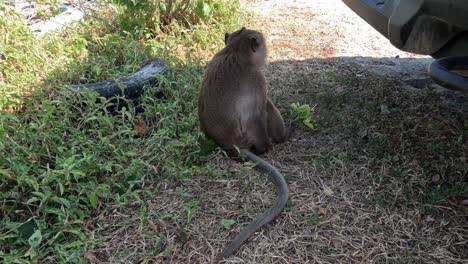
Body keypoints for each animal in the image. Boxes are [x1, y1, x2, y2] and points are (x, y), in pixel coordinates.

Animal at [197, 26, 288, 262]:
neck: (234, 51)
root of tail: (228, 146)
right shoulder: (257, 79)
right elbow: (254, 116)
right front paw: (268, 146)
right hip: (246, 136)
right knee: (265, 106)